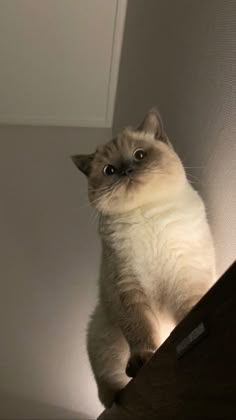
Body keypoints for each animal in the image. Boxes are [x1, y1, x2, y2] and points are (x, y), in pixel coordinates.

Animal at [71, 110, 216, 408]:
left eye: (139, 155)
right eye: (109, 171)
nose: (126, 170)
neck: (147, 214)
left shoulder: (186, 274)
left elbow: (188, 311)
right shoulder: (128, 287)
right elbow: (140, 332)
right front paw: (145, 357)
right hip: (102, 341)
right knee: (109, 390)